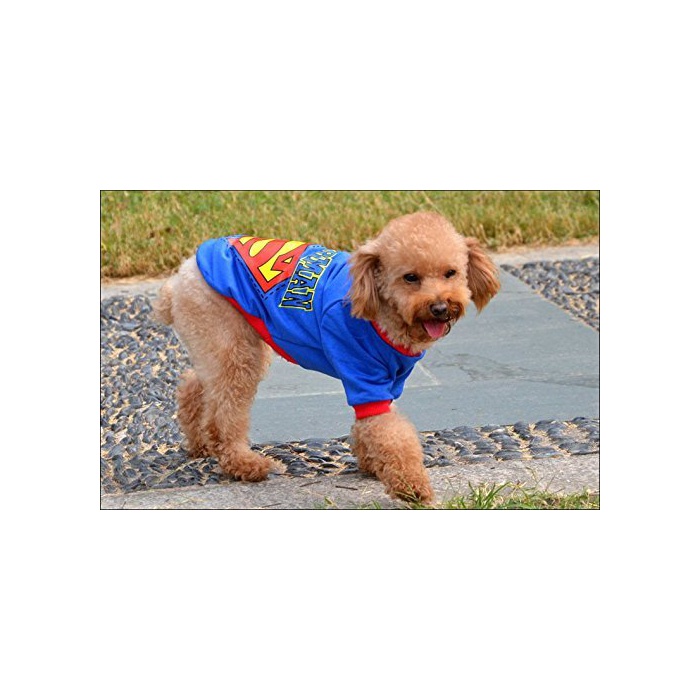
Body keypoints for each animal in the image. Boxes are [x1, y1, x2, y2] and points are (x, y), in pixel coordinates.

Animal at [154, 211, 500, 503]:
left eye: (451, 273)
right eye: (410, 277)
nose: (440, 307)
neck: (382, 310)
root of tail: (180, 279)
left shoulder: (389, 381)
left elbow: (370, 426)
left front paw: (370, 462)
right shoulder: (365, 377)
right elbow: (389, 432)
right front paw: (410, 486)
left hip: (220, 342)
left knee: (196, 385)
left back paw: (200, 443)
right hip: (228, 338)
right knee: (225, 411)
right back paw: (244, 463)